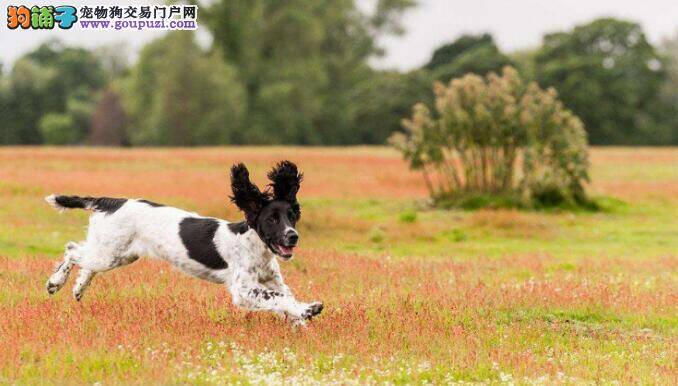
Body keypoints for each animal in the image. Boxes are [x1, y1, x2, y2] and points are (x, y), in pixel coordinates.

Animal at [44, 160, 324, 326]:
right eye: (272, 219)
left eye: (292, 215)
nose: (293, 236)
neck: (255, 247)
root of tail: (111, 201)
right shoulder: (243, 289)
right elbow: (279, 299)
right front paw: (307, 311)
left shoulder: (272, 281)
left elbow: (283, 297)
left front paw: (299, 319)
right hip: (109, 253)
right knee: (72, 250)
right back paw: (55, 282)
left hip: (118, 253)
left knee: (85, 261)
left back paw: (78, 289)